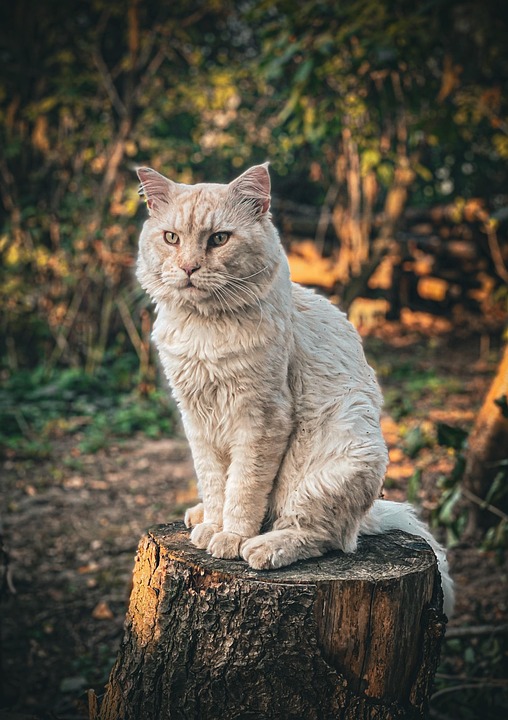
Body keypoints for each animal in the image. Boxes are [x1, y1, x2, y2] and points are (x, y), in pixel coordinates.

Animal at [137, 165, 454, 620]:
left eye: (219, 239)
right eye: (171, 238)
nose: (189, 267)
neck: (205, 328)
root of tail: (366, 517)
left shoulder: (262, 417)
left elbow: (243, 489)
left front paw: (230, 536)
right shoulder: (197, 418)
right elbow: (215, 482)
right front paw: (212, 524)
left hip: (333, 466)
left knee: (324, 537)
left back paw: (263, 547)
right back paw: (200, 519)